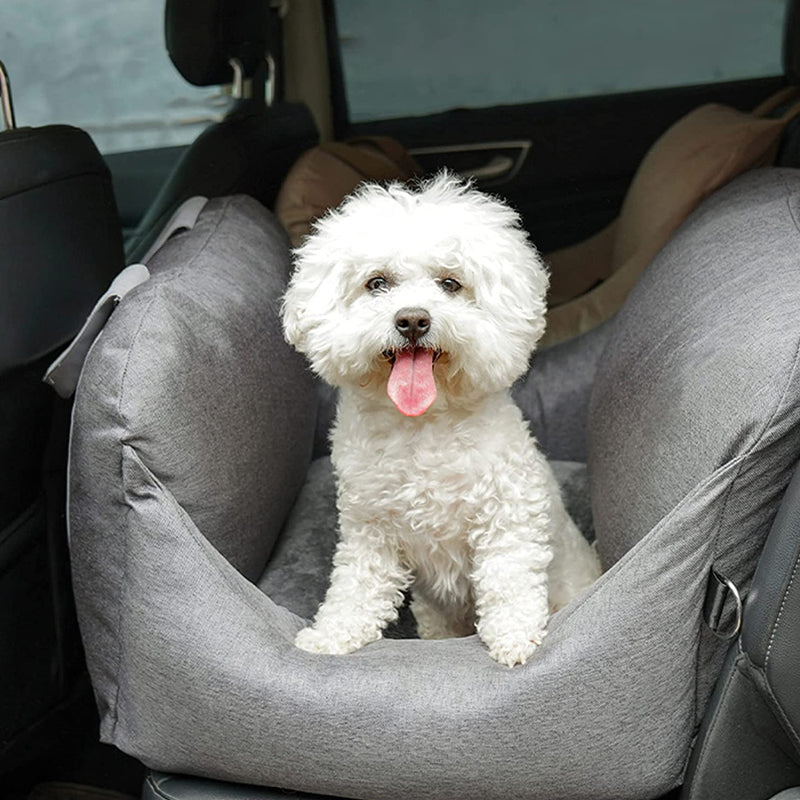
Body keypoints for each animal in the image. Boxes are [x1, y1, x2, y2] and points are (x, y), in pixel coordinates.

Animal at [282, 175, 600, 668]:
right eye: (377, 283)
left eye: (450, 283)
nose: (412, 319)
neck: (423, 426)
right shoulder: (370, 529)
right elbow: (356, 586)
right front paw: (332, 634)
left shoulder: (508, 514)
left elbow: (509, 578)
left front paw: (514, 636)